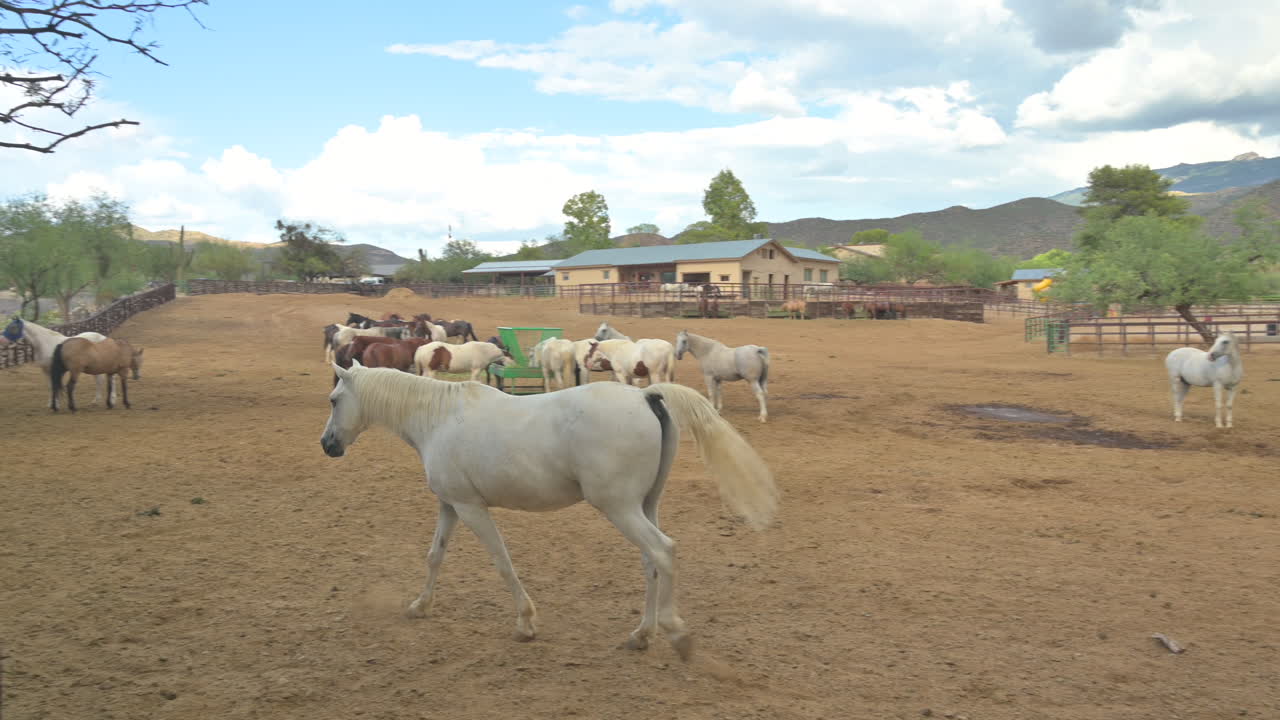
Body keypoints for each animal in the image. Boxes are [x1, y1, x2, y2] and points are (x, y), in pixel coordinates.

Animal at [321, 360, 778, 659]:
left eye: (334, 399)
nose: (328, 445)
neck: (437, 418)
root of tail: (647, 394)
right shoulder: (450, 503)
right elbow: (435, 556)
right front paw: (419, 607)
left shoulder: (471, 508)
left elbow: (501, 561)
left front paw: (525, 624)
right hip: (645, 505)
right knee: (652, 561)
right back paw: (640, 635)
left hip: (619, 508)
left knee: (663, 551)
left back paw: (675, 634)